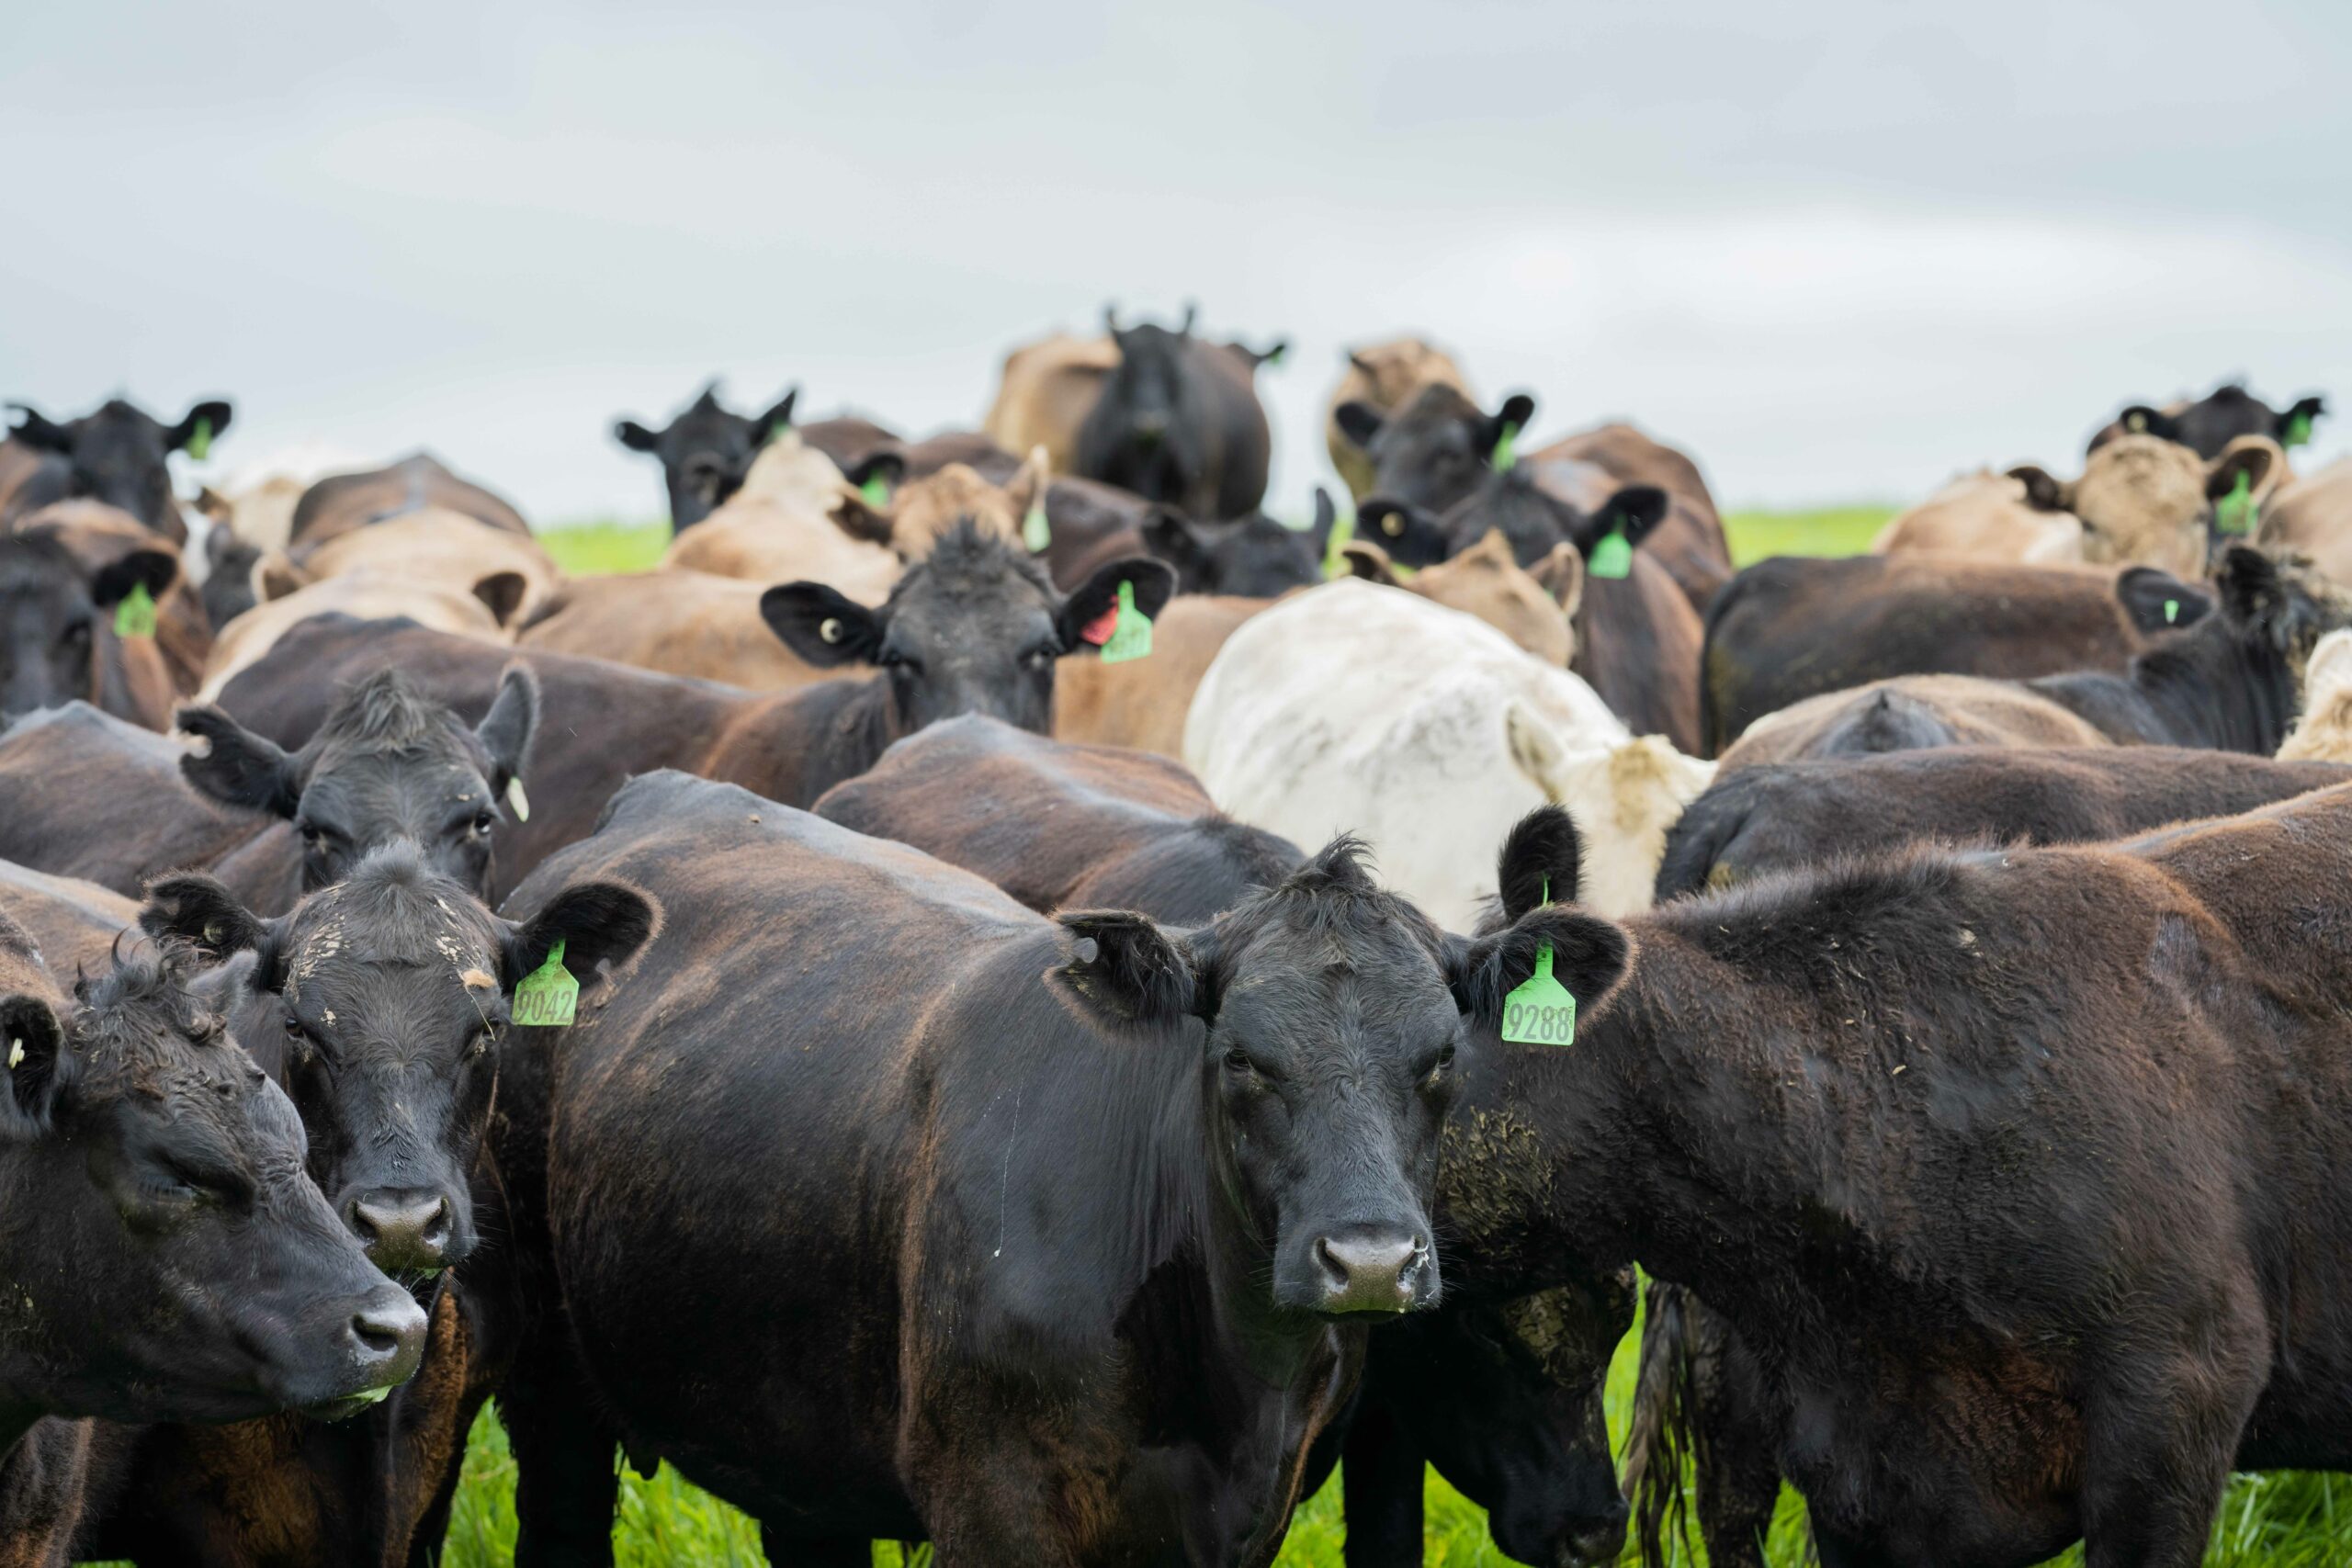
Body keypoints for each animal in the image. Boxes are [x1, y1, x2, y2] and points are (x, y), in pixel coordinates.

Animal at [489, 767, 1577, 1564]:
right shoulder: (994, 1500)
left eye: (1444, 1055)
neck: (1228, 1386)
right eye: (1240, 1059)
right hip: (546, 1378)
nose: (1371, 1261)